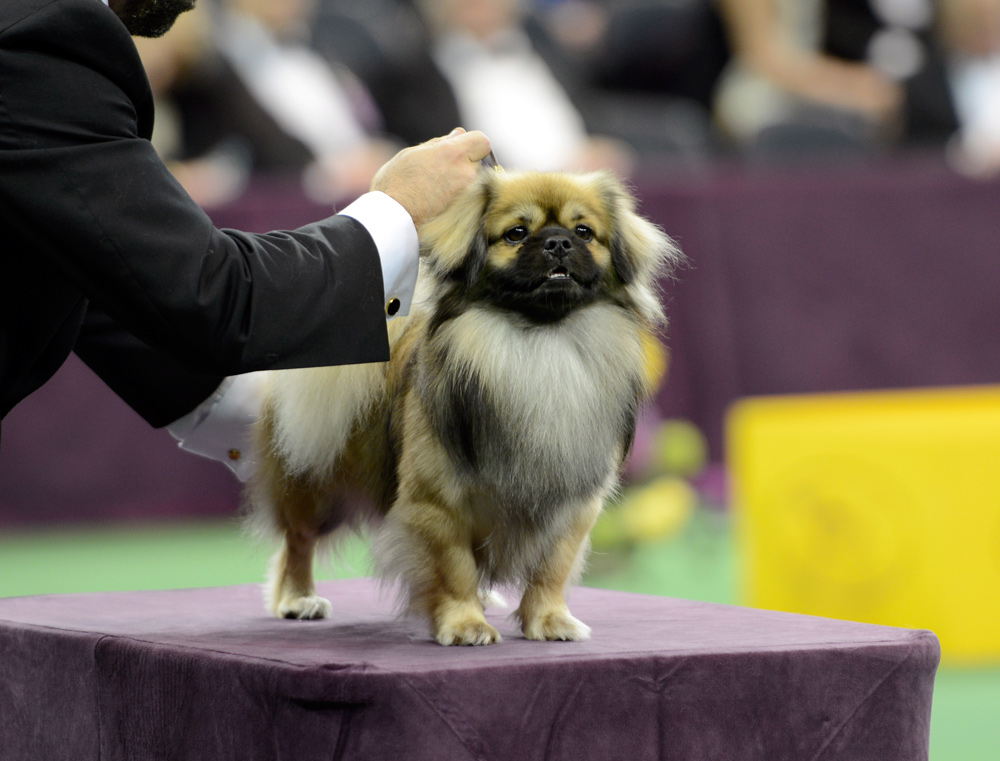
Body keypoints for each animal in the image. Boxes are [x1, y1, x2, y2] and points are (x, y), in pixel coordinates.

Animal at [247, 169, 684, 644]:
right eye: (516, 233)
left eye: (584, 232)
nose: (558, 242)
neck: (540, 344)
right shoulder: (439, 502)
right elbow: (453, 568)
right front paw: (464, 625)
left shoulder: (571, 505)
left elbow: (551, 569)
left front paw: (550, 621)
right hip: (315, 487)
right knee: (298, 541)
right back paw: (297, 599)